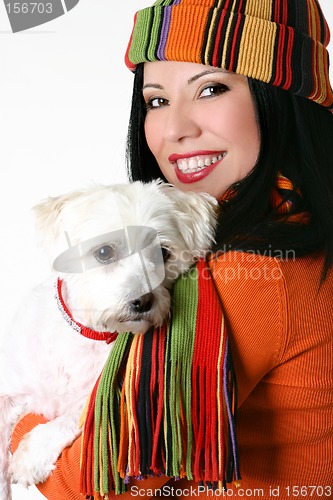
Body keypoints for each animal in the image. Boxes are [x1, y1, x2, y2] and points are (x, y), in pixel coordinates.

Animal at [0, 181, 218, 500]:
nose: (144, 300)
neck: (91, 334)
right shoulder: (8, 390)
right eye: (104, 252)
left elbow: (76, 416)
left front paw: (33, 454)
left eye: (163, 253)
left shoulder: (105, 401)